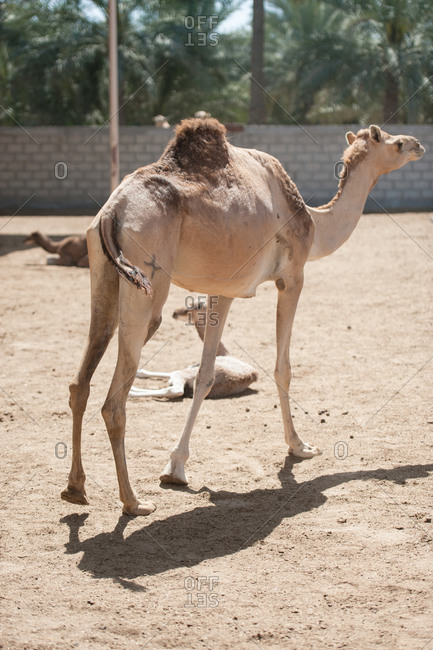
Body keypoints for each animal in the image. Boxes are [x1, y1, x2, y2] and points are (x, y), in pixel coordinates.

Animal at [129, 303, 258, 399]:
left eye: (196, 305)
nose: (175, 313)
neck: (224, 353)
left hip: (185, 375)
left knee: (176, 390)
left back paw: (131, 392)